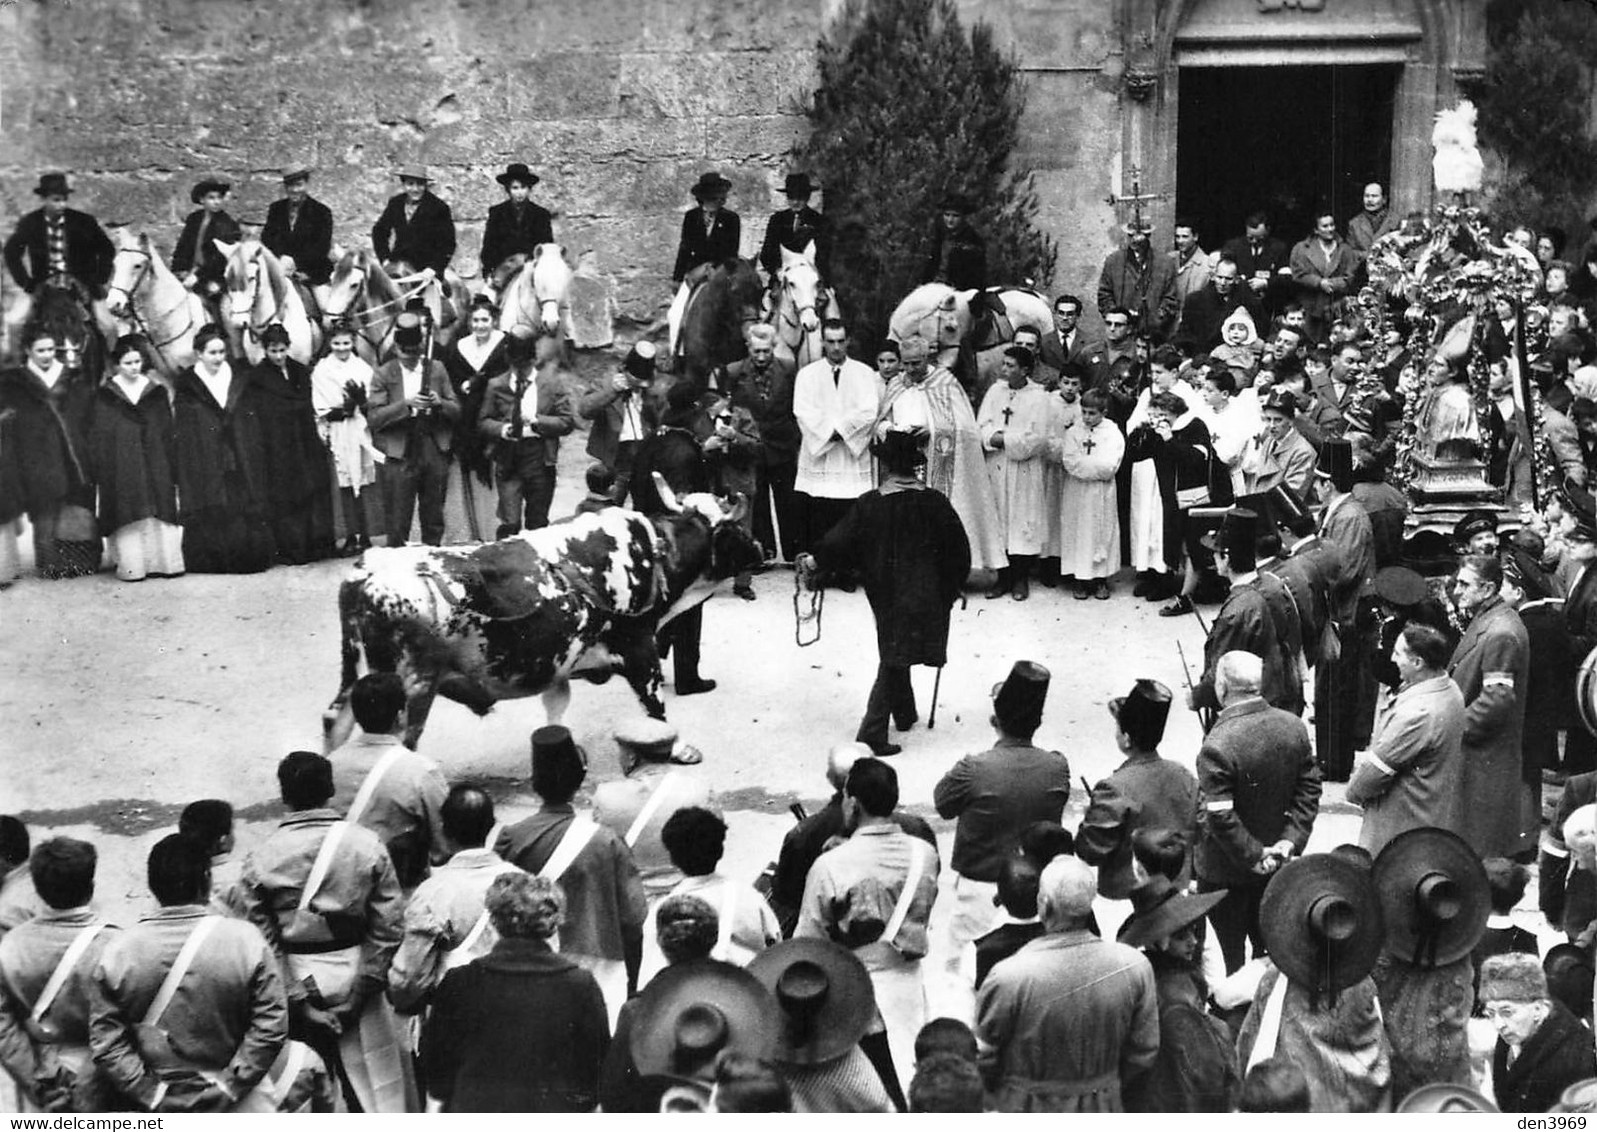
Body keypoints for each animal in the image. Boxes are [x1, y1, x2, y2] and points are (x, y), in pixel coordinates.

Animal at [324, 478, 760, 750]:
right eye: (738, 530)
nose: (760, 548)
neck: (653, 552)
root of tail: (368, 570)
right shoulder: (639, 648)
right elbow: (657, 711)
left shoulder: (559, 668)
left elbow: (555, 714)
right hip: (412, 687)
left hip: (355, 678)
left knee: (335, 724)